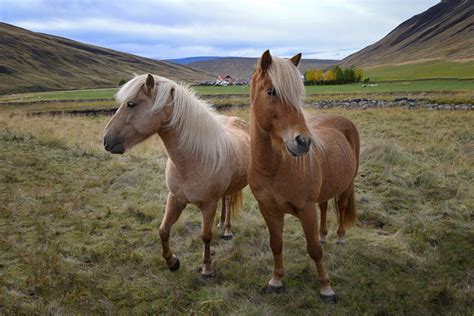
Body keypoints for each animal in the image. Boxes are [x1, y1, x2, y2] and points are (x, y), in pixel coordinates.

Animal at [102, 74, 250, 276]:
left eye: (131, 104)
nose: (106, 140)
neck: (193, 159)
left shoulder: (208, 205)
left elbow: (205, 235)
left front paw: (207, 268)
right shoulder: (175, 198)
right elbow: (163, 230)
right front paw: (172, 262)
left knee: (227, 202)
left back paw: (227, 230)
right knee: (225, 201)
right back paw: (221, 224)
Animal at [248, 51, 360, 304]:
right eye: (271, 91)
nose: (304, 142)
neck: (274, 168)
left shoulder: (305, 209)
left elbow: (314, 250)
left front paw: (326, 288)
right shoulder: (268, 209)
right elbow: (276, 244)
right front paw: (276, 280)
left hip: (347, 184)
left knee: (341, 206)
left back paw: (339, 237)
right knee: (325, 206)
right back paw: (323, 235)